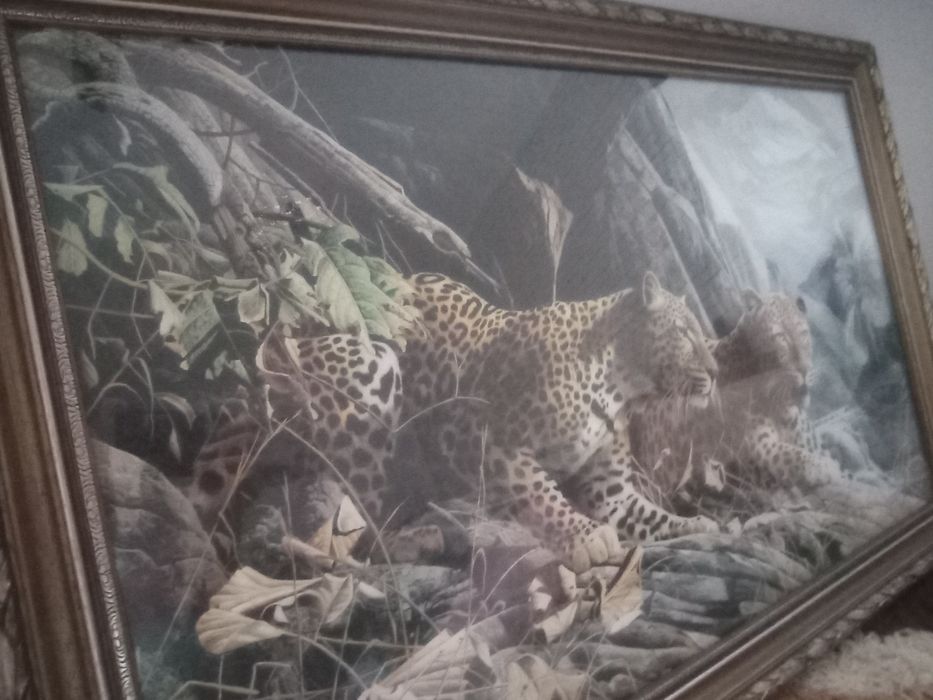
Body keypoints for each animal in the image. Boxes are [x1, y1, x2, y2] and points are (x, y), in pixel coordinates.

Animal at [185, 270, 722, 573]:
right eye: (685, 333)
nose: (717, 372)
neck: (622, 385)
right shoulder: (483, 439)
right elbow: (540, 493)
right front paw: (585, 538)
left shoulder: (608, 488)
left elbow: (648, 517)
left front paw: (700, 525)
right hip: (371, 370)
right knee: (356, 529)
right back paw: (412, 542)